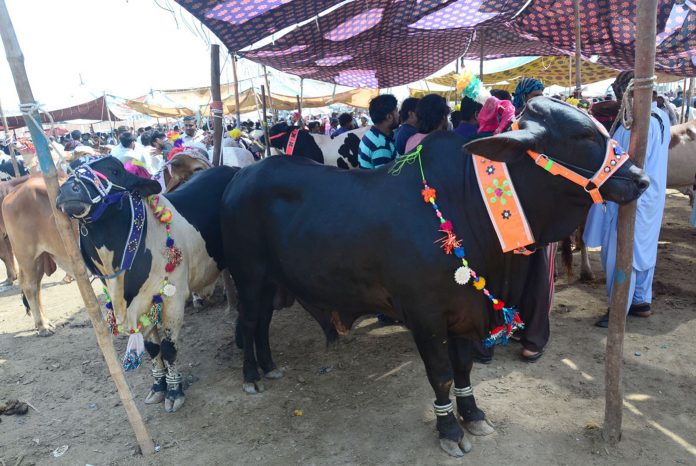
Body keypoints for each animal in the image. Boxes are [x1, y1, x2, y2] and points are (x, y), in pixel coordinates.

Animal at [222, 96, 648, 456]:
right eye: (582, 136)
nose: (641, 178)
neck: (468, 204)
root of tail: (238, 180)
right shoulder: (425, 316)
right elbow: (441, 374)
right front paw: (450, 431)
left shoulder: (464, 311)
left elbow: (463, 368)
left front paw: (473, 415)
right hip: (249, 275)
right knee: (250, 319)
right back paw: (251, 374)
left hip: (271, 280)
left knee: (261, 323)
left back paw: (269, 366)